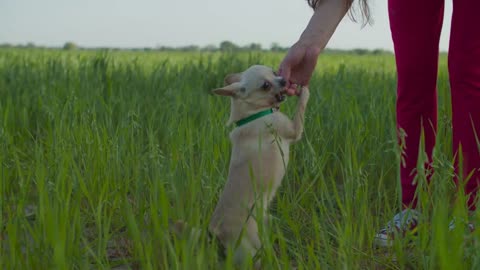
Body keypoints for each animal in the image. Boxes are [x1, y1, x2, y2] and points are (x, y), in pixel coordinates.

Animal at [211, 64, 312, 266]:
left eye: (274, 72)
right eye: (265, 86)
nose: (284, 80)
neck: (253, 114)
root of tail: (218, 231)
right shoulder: (294, 130)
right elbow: (301, 107)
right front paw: (304, 91)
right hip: (250, 250)